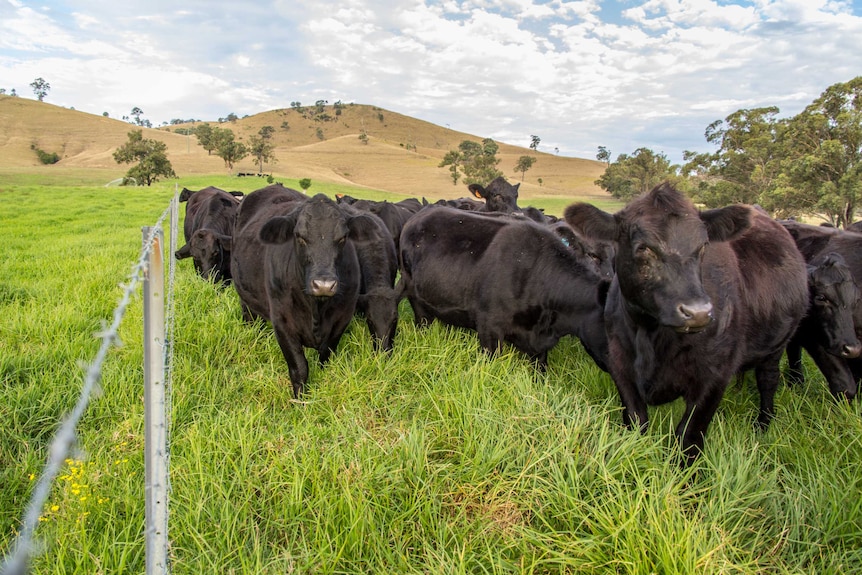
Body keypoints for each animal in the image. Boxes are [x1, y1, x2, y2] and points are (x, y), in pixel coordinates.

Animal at [233, 191, 384, 398]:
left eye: (343, 237)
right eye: (299, 236)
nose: (323, 285)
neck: (316, 309)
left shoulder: (341, 319)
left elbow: (325, 357)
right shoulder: (282, 322)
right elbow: (299, 368)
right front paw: (300, 400)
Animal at [402, 207, 612, 374]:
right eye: (594, 256)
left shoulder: (540, 343)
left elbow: (541, 368)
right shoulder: (489, 326)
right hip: (413, 292)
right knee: (422, 318)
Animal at [568, 183, 808, 464]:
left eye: (703, 246)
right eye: (644, 248)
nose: (698, 312)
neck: (651, 336)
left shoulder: (715, 375)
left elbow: (689, 434)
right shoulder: (619, 361)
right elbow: (636, 420)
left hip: (776, 346)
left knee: (768, 380)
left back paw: (763, 425)